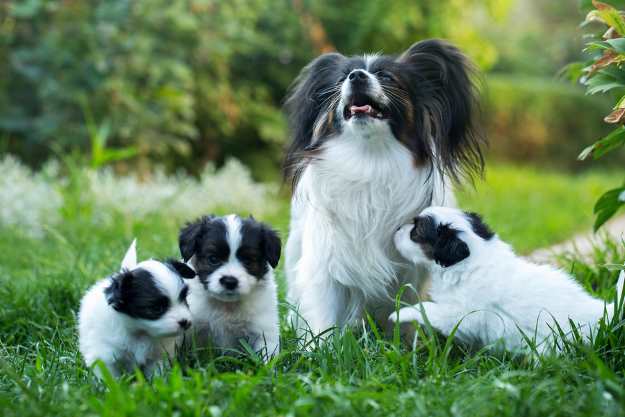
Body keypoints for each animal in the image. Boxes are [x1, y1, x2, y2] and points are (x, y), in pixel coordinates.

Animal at [77, 237, 195, 376]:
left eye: (184, 299)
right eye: (156, 308)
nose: (185, 322)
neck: (140, 331)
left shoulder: (157, 357)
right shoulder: (105, 357)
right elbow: (110, 376)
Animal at [178, 213, 280, 360]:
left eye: (248, 261)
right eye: (213, 259)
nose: (230, 281)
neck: (227, 305)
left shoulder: (263, 329)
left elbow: (267, 354)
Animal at [284, 39, 488, 334]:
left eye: (387, 77)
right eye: (342, 78)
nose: (357, 76)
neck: (370, 160)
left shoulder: (410, 272)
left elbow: (403, 311)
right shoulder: (325, 264)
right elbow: (323, 317)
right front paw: (318, 344)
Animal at [388, 206, 620, 352]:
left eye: (416, 232)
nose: (396, 229)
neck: (472, 260)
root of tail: (603, 314)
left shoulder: (462, 315)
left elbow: (428, 308)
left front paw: (399, 314)